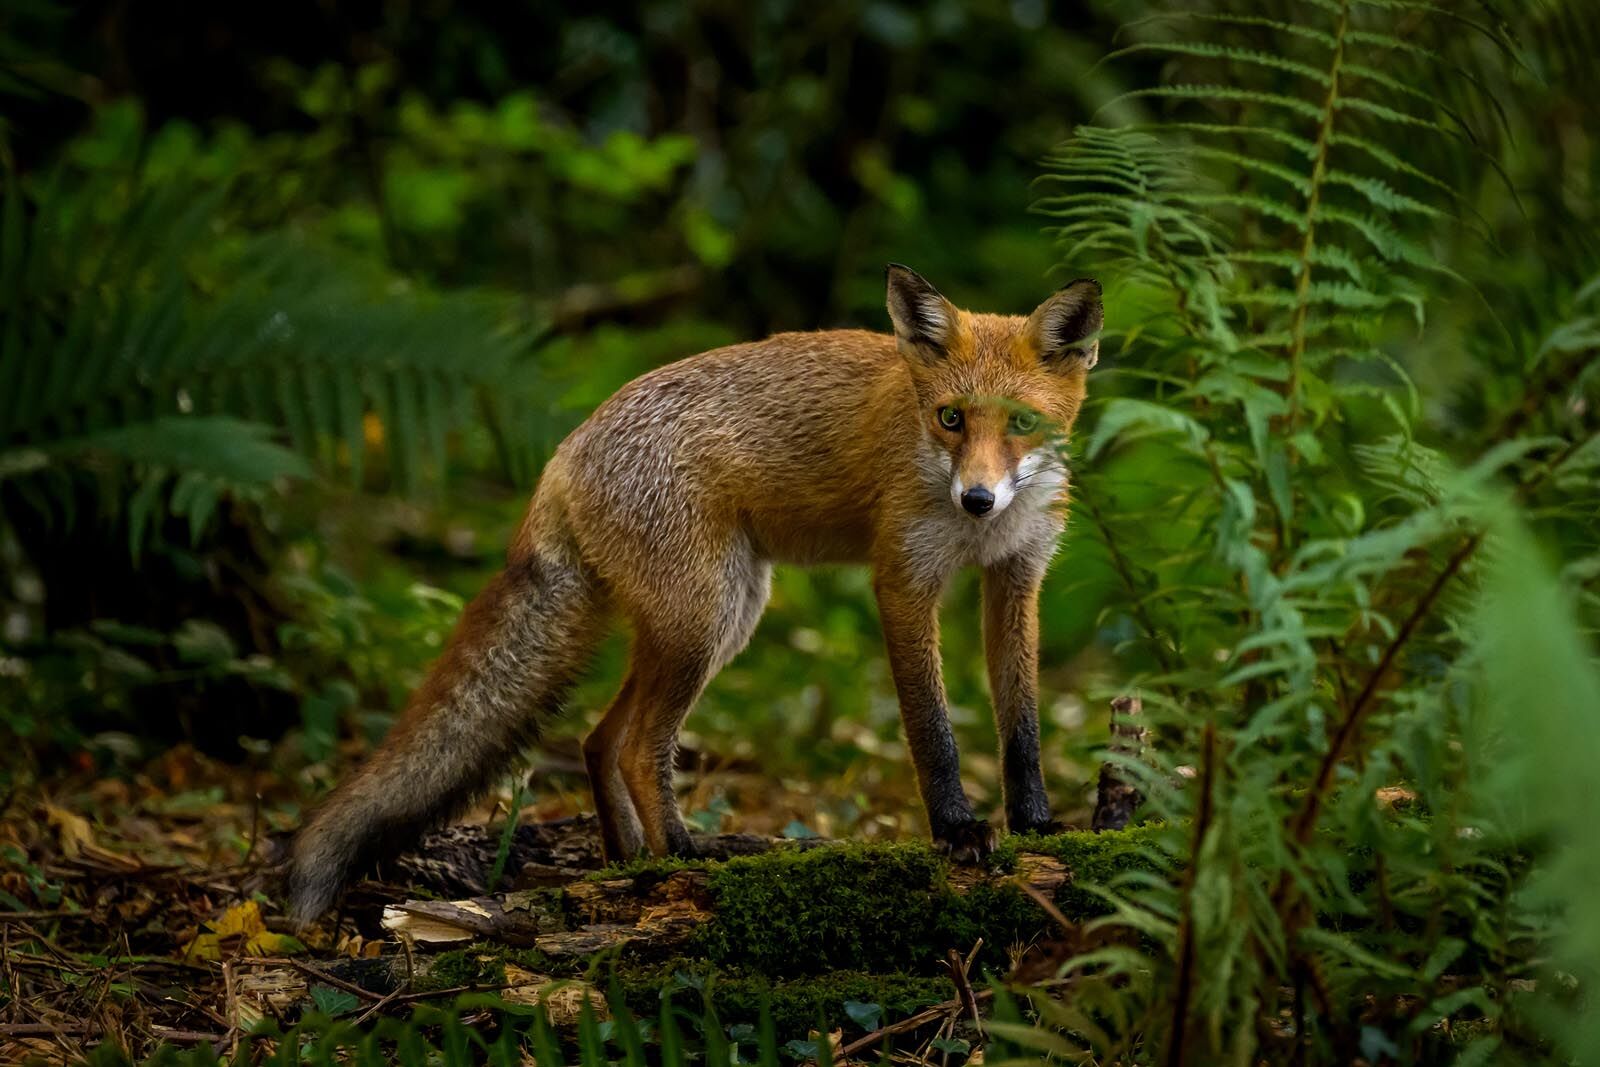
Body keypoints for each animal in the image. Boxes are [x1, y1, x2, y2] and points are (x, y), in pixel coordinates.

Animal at [284, 264, 1103, 921]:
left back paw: (628, 861)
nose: (977, 499)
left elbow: (1022, 724)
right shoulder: (904, 580)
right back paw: (681, 854)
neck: (974, 531)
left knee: (599, 738)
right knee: (639, 747)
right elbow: (932, 729)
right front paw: (958, 831)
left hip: (720, 617)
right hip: (703, 621)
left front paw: (1036, 825)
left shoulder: (1017, 577)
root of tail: (566, 449)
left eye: (1022, 424)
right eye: (950, 417)